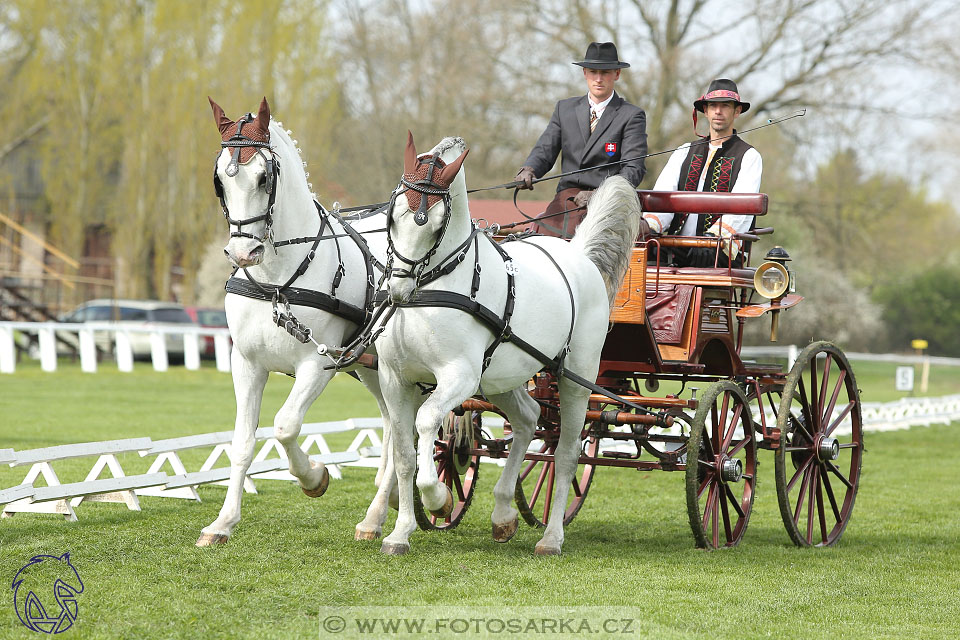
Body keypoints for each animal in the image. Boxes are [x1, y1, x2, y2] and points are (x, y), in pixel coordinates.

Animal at [201, 97, 396, 548]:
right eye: (220, 179)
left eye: (264, 177)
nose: (243, 253)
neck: (278, 278)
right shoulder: (246, 364)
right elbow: (242, 442)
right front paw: (223, 523)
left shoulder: (317, 364)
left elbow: (285, 426)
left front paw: (314, 478)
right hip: (374, 369)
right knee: (393, 425)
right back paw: (382, 508)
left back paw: (382, 512)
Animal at [378, 135, 640, 556]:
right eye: (392, 216)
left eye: (435, 226)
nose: (398, 291)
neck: (433, 288)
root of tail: (577, 253)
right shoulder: (395, 379)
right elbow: (403, 456)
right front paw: (399, 533)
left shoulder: (459, 377)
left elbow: (426, 423)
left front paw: (439, 499)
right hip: (502, 378)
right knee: (529, 418)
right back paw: (503, 514)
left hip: (576, 376)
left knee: (566, 453)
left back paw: (551, 538)